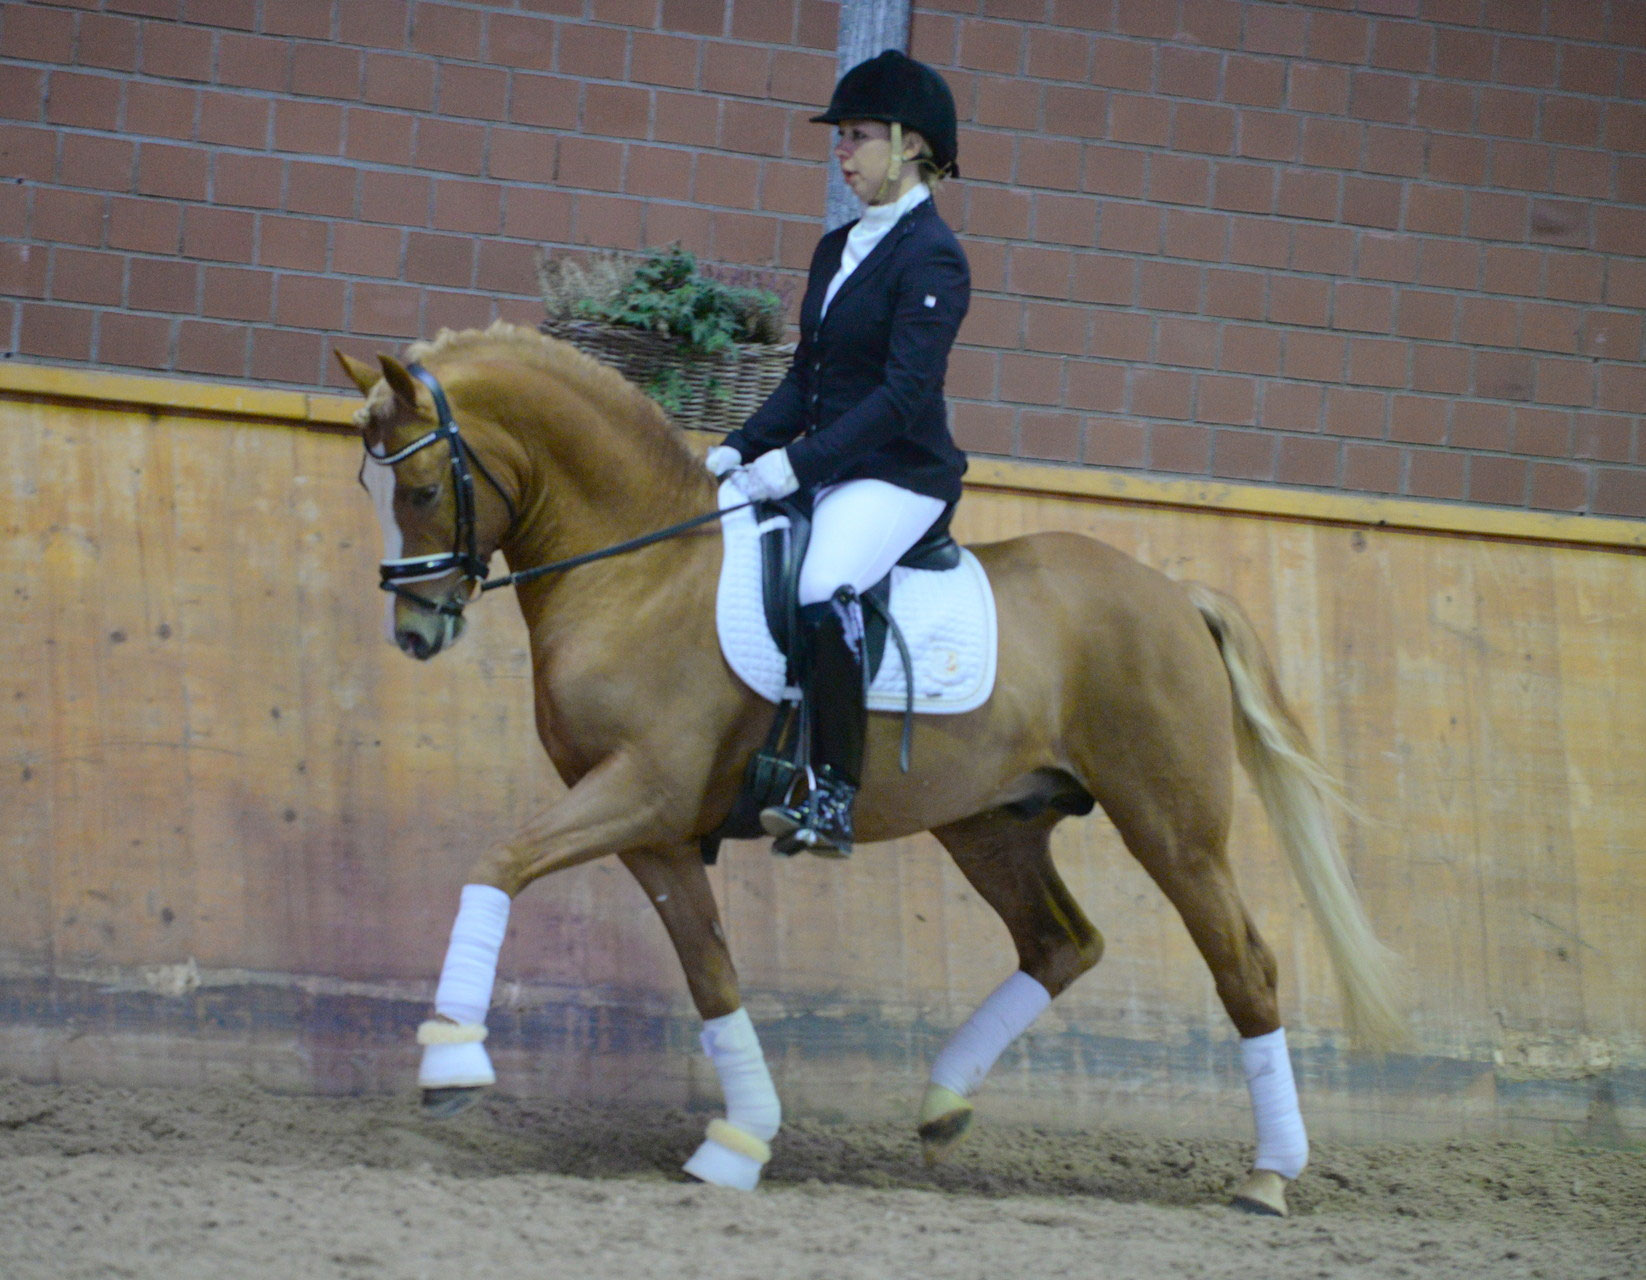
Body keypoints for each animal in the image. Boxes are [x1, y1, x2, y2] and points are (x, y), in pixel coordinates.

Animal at [335, 321, 1405, 1216]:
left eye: (420, 490)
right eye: (372, 491)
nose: (415, 633)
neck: (640, 572)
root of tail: (1173, 594)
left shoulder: (643, 790)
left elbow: (498, 863)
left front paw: (451, 1063)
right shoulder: (655, 828)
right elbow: (710, 972)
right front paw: (739, 1143)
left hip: (1170, 825)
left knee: (1244, 966)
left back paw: (1268, 1178)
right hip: (991, 825)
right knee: (1062, 944)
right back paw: (942, 1104)